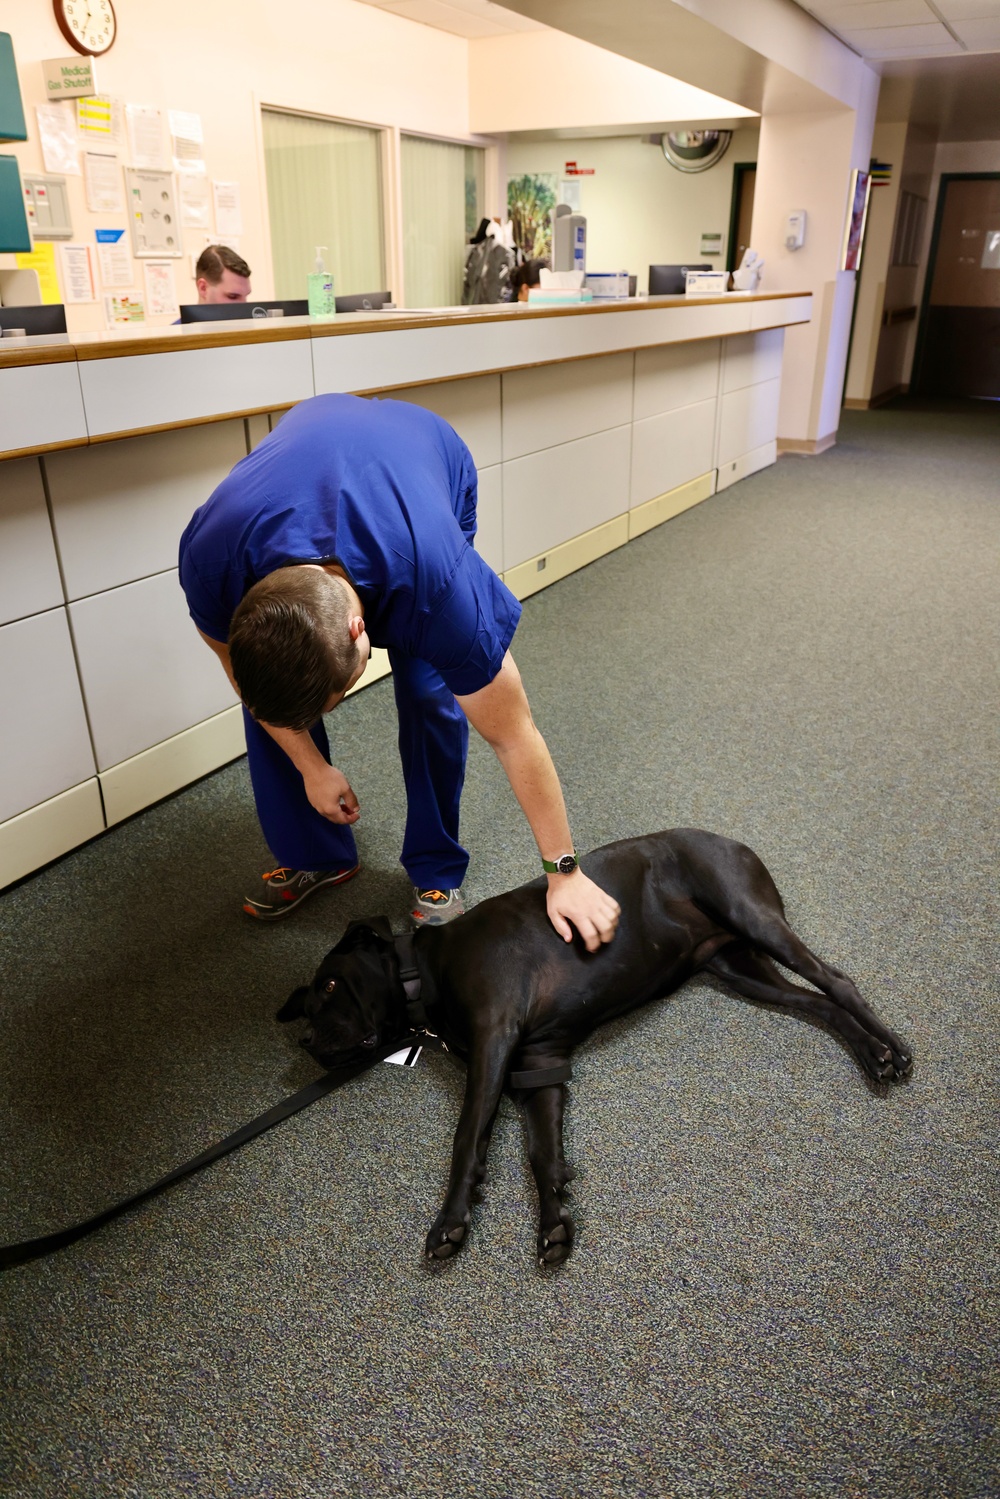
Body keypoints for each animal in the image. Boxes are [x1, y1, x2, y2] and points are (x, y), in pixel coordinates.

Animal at [277, 833, 911, 1265]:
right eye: (309, 1002)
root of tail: (732, 840)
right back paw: (872, 1054)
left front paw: (451, 1221)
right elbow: (542, 1153)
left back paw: (895, 1050)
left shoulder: (494, 1041)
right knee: (820, 1005)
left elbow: (467, 1138)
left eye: (330, 985)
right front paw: (554, 1219)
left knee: (838, 982)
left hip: (752, 917)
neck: (422, 973)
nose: (305, 1041)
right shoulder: (537, 1065)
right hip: (739, 968)